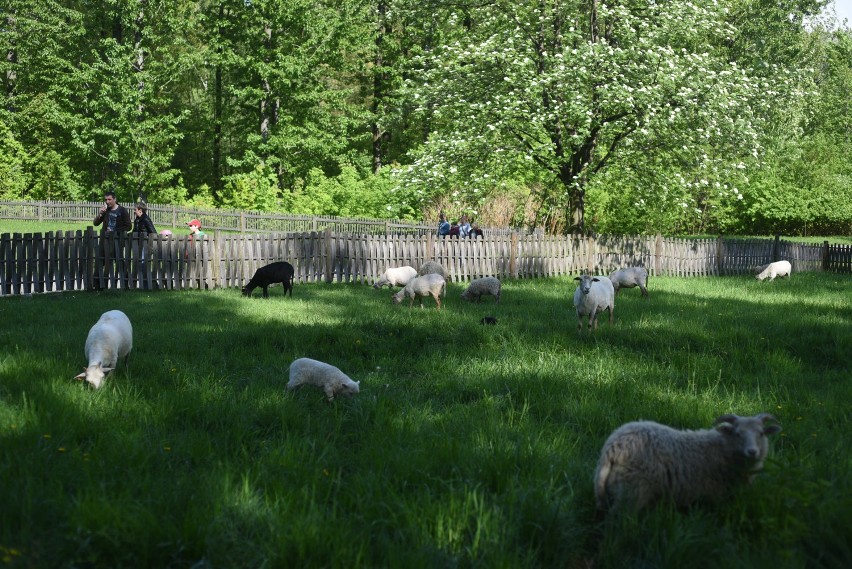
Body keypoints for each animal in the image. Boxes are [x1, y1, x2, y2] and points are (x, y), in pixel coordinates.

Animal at [596, 410, 784, 512]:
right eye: (737, 434)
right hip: (631, 492)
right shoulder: (714, 497)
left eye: (761, 433)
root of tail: (612, 446)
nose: (752, 451)